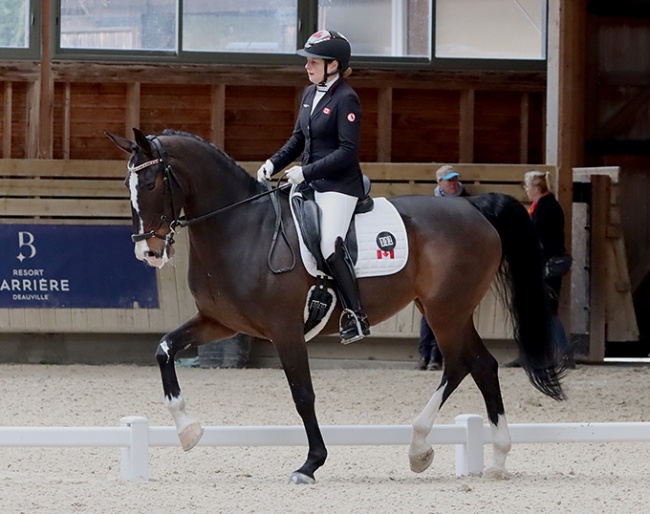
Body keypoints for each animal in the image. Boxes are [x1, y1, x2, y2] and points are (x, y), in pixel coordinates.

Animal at [105, 127, 560, 480]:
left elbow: (302, 394)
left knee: (461, 364)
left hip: (446, 310)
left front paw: (311, 464)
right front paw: (188, 430)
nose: (147, 253)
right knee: (482, 364)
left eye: (151, 184)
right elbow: (164, 349)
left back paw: (420, 446)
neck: (241, 229)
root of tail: (473, 206)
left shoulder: (285, 329)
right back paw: (495, 457)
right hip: (450, 311)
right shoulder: (221, 322)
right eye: (127, 187)